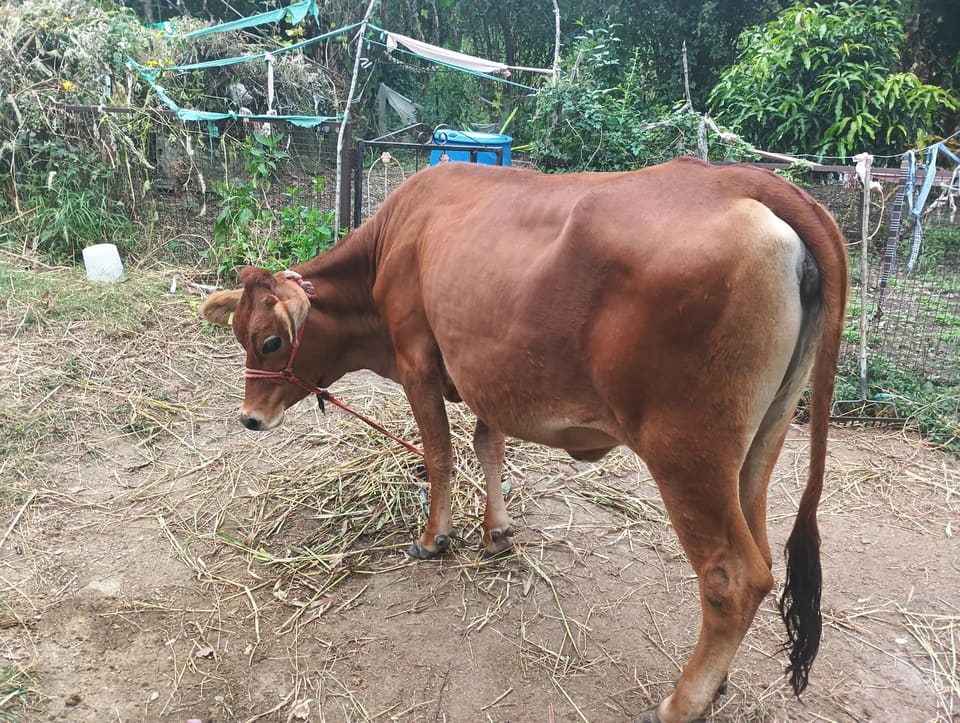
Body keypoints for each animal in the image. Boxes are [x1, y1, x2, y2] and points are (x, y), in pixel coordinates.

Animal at [199, 158, 848, 722]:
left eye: (270, 342)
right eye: (238, 335)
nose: (249, 418)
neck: (393, 243)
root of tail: (742, 179)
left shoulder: (416, 360)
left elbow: (440, 455)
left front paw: (434, 538)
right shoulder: (491, 373)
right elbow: (490, 446)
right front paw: (497, 531)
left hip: (687, 452)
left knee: (732, 578)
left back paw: (679, 703)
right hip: (760, 445)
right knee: (764, 558)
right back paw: (715, 686)